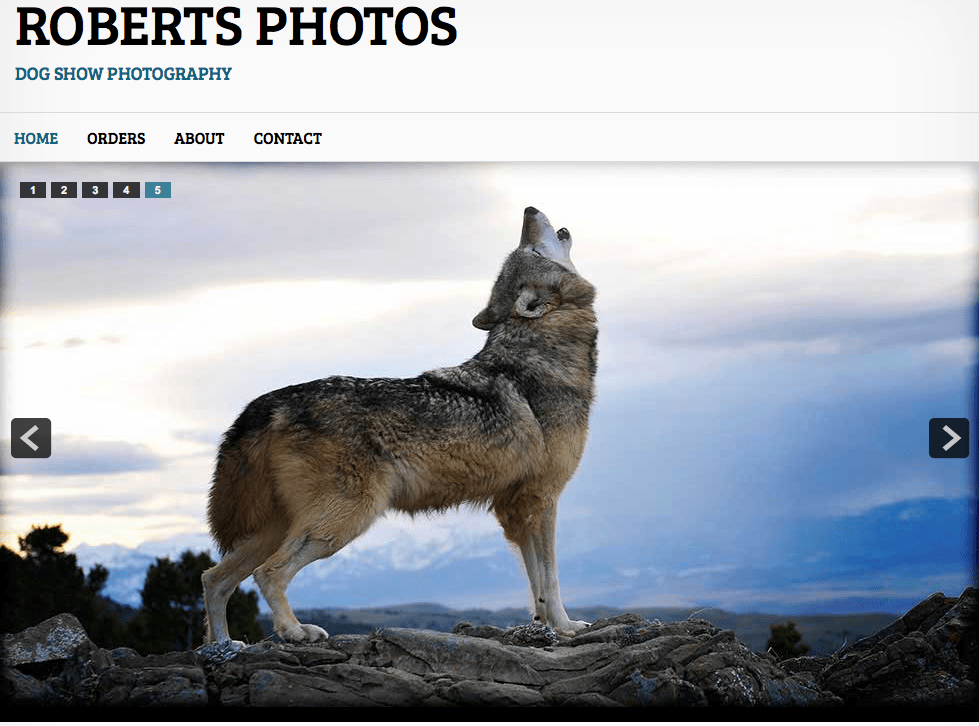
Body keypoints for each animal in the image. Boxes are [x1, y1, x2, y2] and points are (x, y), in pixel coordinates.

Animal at [202, 208, 596, 644]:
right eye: (528, 248)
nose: (527, 210)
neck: (543, 351)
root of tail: (266, 403)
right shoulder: (542, 498)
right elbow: (551, 576)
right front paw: (566, 626)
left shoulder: (514, 506)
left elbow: (536, 583)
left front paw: (545, 624)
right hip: (340, 523)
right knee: (267, 572)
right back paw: (294, 630)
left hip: (278, 528)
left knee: (212, 578)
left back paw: (223, 646)